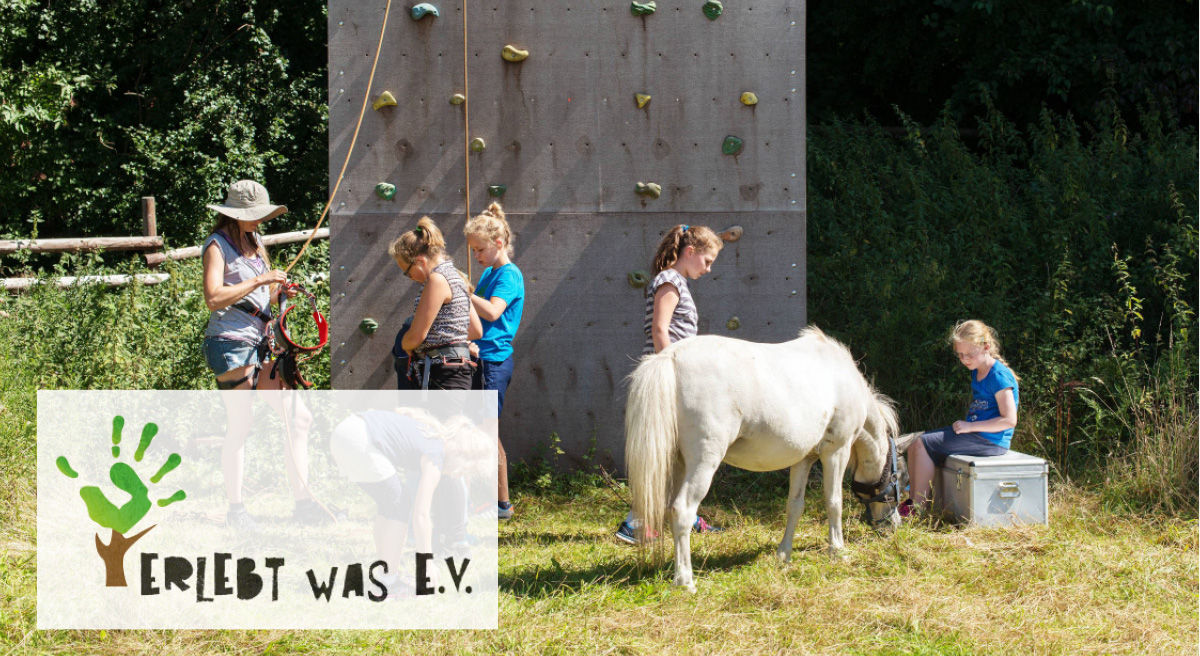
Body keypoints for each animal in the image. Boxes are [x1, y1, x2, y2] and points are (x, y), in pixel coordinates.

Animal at [624, 326, 912, 590]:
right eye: (901, 478)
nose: (893, 525)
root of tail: (670, 358)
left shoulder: (803, 460)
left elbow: (795, 506)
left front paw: (784, 553)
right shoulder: (835, 452)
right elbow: (834, 503)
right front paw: (838, 551)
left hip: (677, 464)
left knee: (668, 510)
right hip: (703, 462)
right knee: (682, 511)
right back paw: (685, 581)